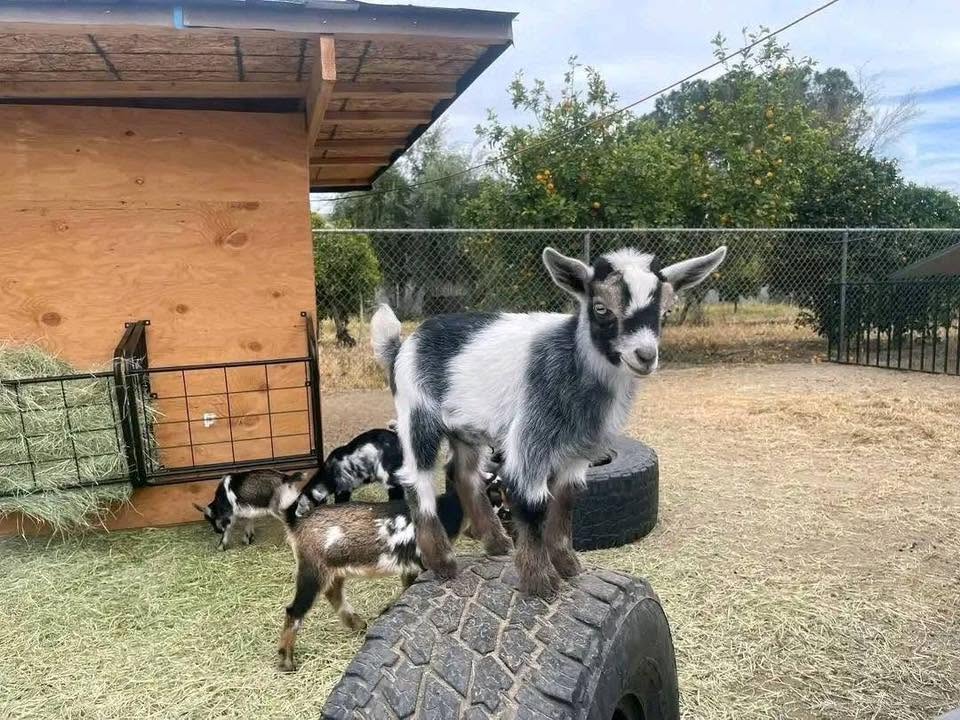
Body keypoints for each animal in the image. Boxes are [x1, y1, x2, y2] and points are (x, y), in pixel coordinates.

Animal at [370, 245, 726, 598]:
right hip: (417, 412)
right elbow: (532, 502)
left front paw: (567, 564)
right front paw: (540, 580)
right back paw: (442, 561)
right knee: (417, 479)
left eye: (666, 312)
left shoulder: (581, 448)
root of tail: (401, 346)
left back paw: (496, 542)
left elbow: (565, 501)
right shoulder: (531, 435)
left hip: (466, 427)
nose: (645, 356)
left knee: (464, 473)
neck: (573, 360)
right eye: (600, 308)